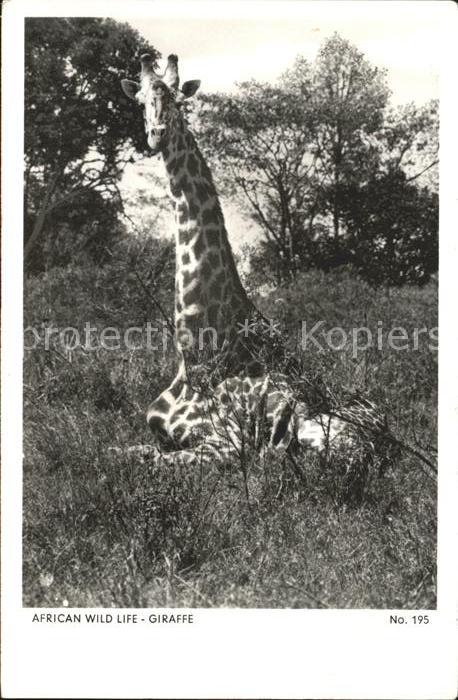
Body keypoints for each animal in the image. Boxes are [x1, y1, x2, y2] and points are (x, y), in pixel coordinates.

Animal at [119, 53, 389, 469]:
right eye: (141, 100)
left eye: (179, 100)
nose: (157, 134)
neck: (196, 353)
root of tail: (387, 432)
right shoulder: (156, 432)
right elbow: (121, 451)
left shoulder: (228, 445)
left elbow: (151, 460)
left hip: (321, 437)